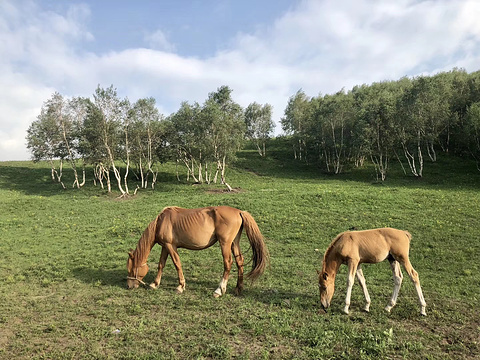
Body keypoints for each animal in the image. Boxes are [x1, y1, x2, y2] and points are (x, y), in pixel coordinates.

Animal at [127, 207, 270, 296]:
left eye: (132, 269)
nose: (129, 286)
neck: (161, 222)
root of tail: (239, 212)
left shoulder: (171, 246)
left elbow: (177, 264)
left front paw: (180, 286)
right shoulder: (165, 247)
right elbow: (161, 265)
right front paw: (154, 284)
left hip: (225, 244)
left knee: (228, 264)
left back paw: (219, 290)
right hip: (234, 243)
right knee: (239, 261)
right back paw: (238, 288)